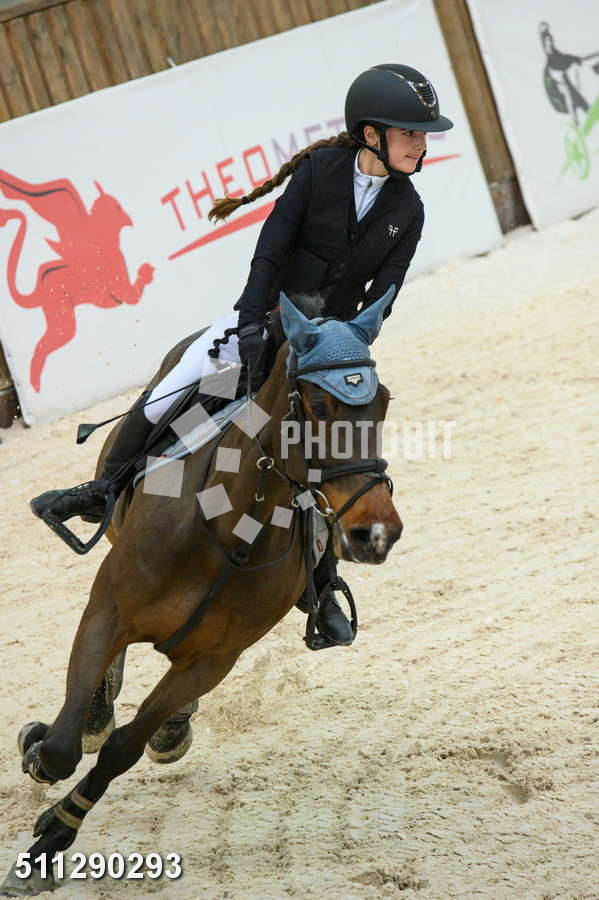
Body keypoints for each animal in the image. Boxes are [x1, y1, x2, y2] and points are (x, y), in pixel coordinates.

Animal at [1, 290, 403, 896]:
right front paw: (39, 752)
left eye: (381, 402)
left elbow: (123, 749)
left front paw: (52, 837)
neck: (227, 529)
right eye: (317, 405)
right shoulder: (108, 611)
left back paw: (165, 725)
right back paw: (94, 709)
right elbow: (62, 745)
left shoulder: (212, 660)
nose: (375, 533)